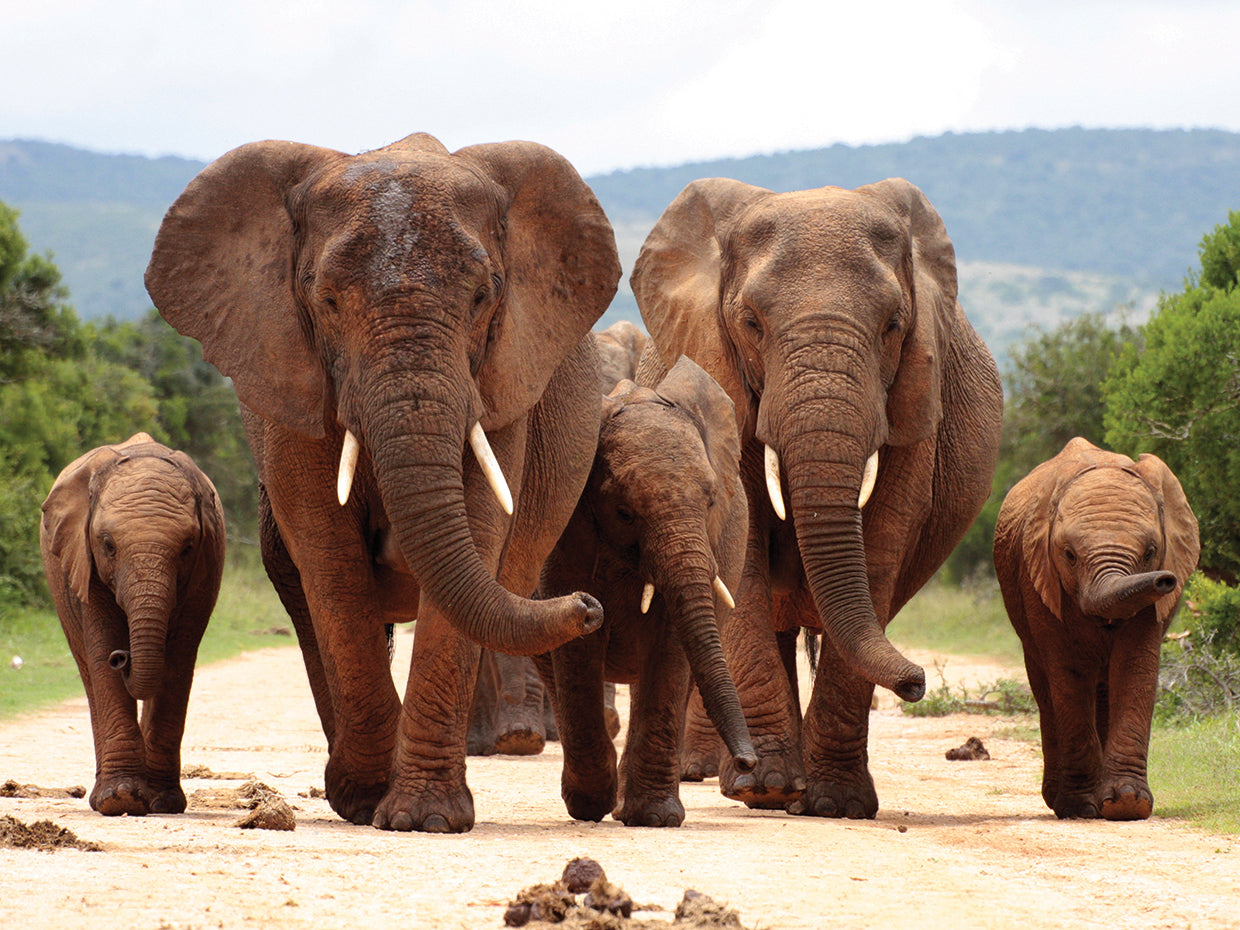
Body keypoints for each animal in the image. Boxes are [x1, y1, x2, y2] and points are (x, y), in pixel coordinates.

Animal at [39, 432, 226, 816]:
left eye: (187, 548)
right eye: (108, 545)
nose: (122, 657)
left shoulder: (206, 565)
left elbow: (179, 659)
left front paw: (163, 802)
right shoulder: (83, 559)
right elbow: (101, 647)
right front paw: (121, 798)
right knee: (88, 669)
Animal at [145, 133, 621, 832]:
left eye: (483, 298)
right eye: (326, 301)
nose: (589, 606)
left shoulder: (502, 382)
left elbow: (479, 532)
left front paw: (424, 818)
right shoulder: (288, 379)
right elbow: (329, 556)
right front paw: (370, 800)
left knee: (513, 596)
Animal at [536, 356, 756, 826]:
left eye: (712, 502)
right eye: (624, 512)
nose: (748, 763)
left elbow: (671, 645)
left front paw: (654, 817)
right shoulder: (566, 537)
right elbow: (578, 643)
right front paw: (591, 805)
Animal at [631, 176, 1003, 818]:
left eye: (894, 325)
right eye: (750, 323)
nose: (917, 682)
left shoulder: (913, 404)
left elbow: (880, 548)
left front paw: (839, 805)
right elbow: (746, 551)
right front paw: (770, 790)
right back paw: (743, 781)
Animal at [993, 437, 1199, 820]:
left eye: (1150, 552)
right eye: (1069, 555)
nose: (1165, 580)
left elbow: (1135, 667)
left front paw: (1126, 804)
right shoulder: (1038, 576)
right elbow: (1068, 673)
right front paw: (1080, 807)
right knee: (1046, 687)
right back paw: (1058, 799)